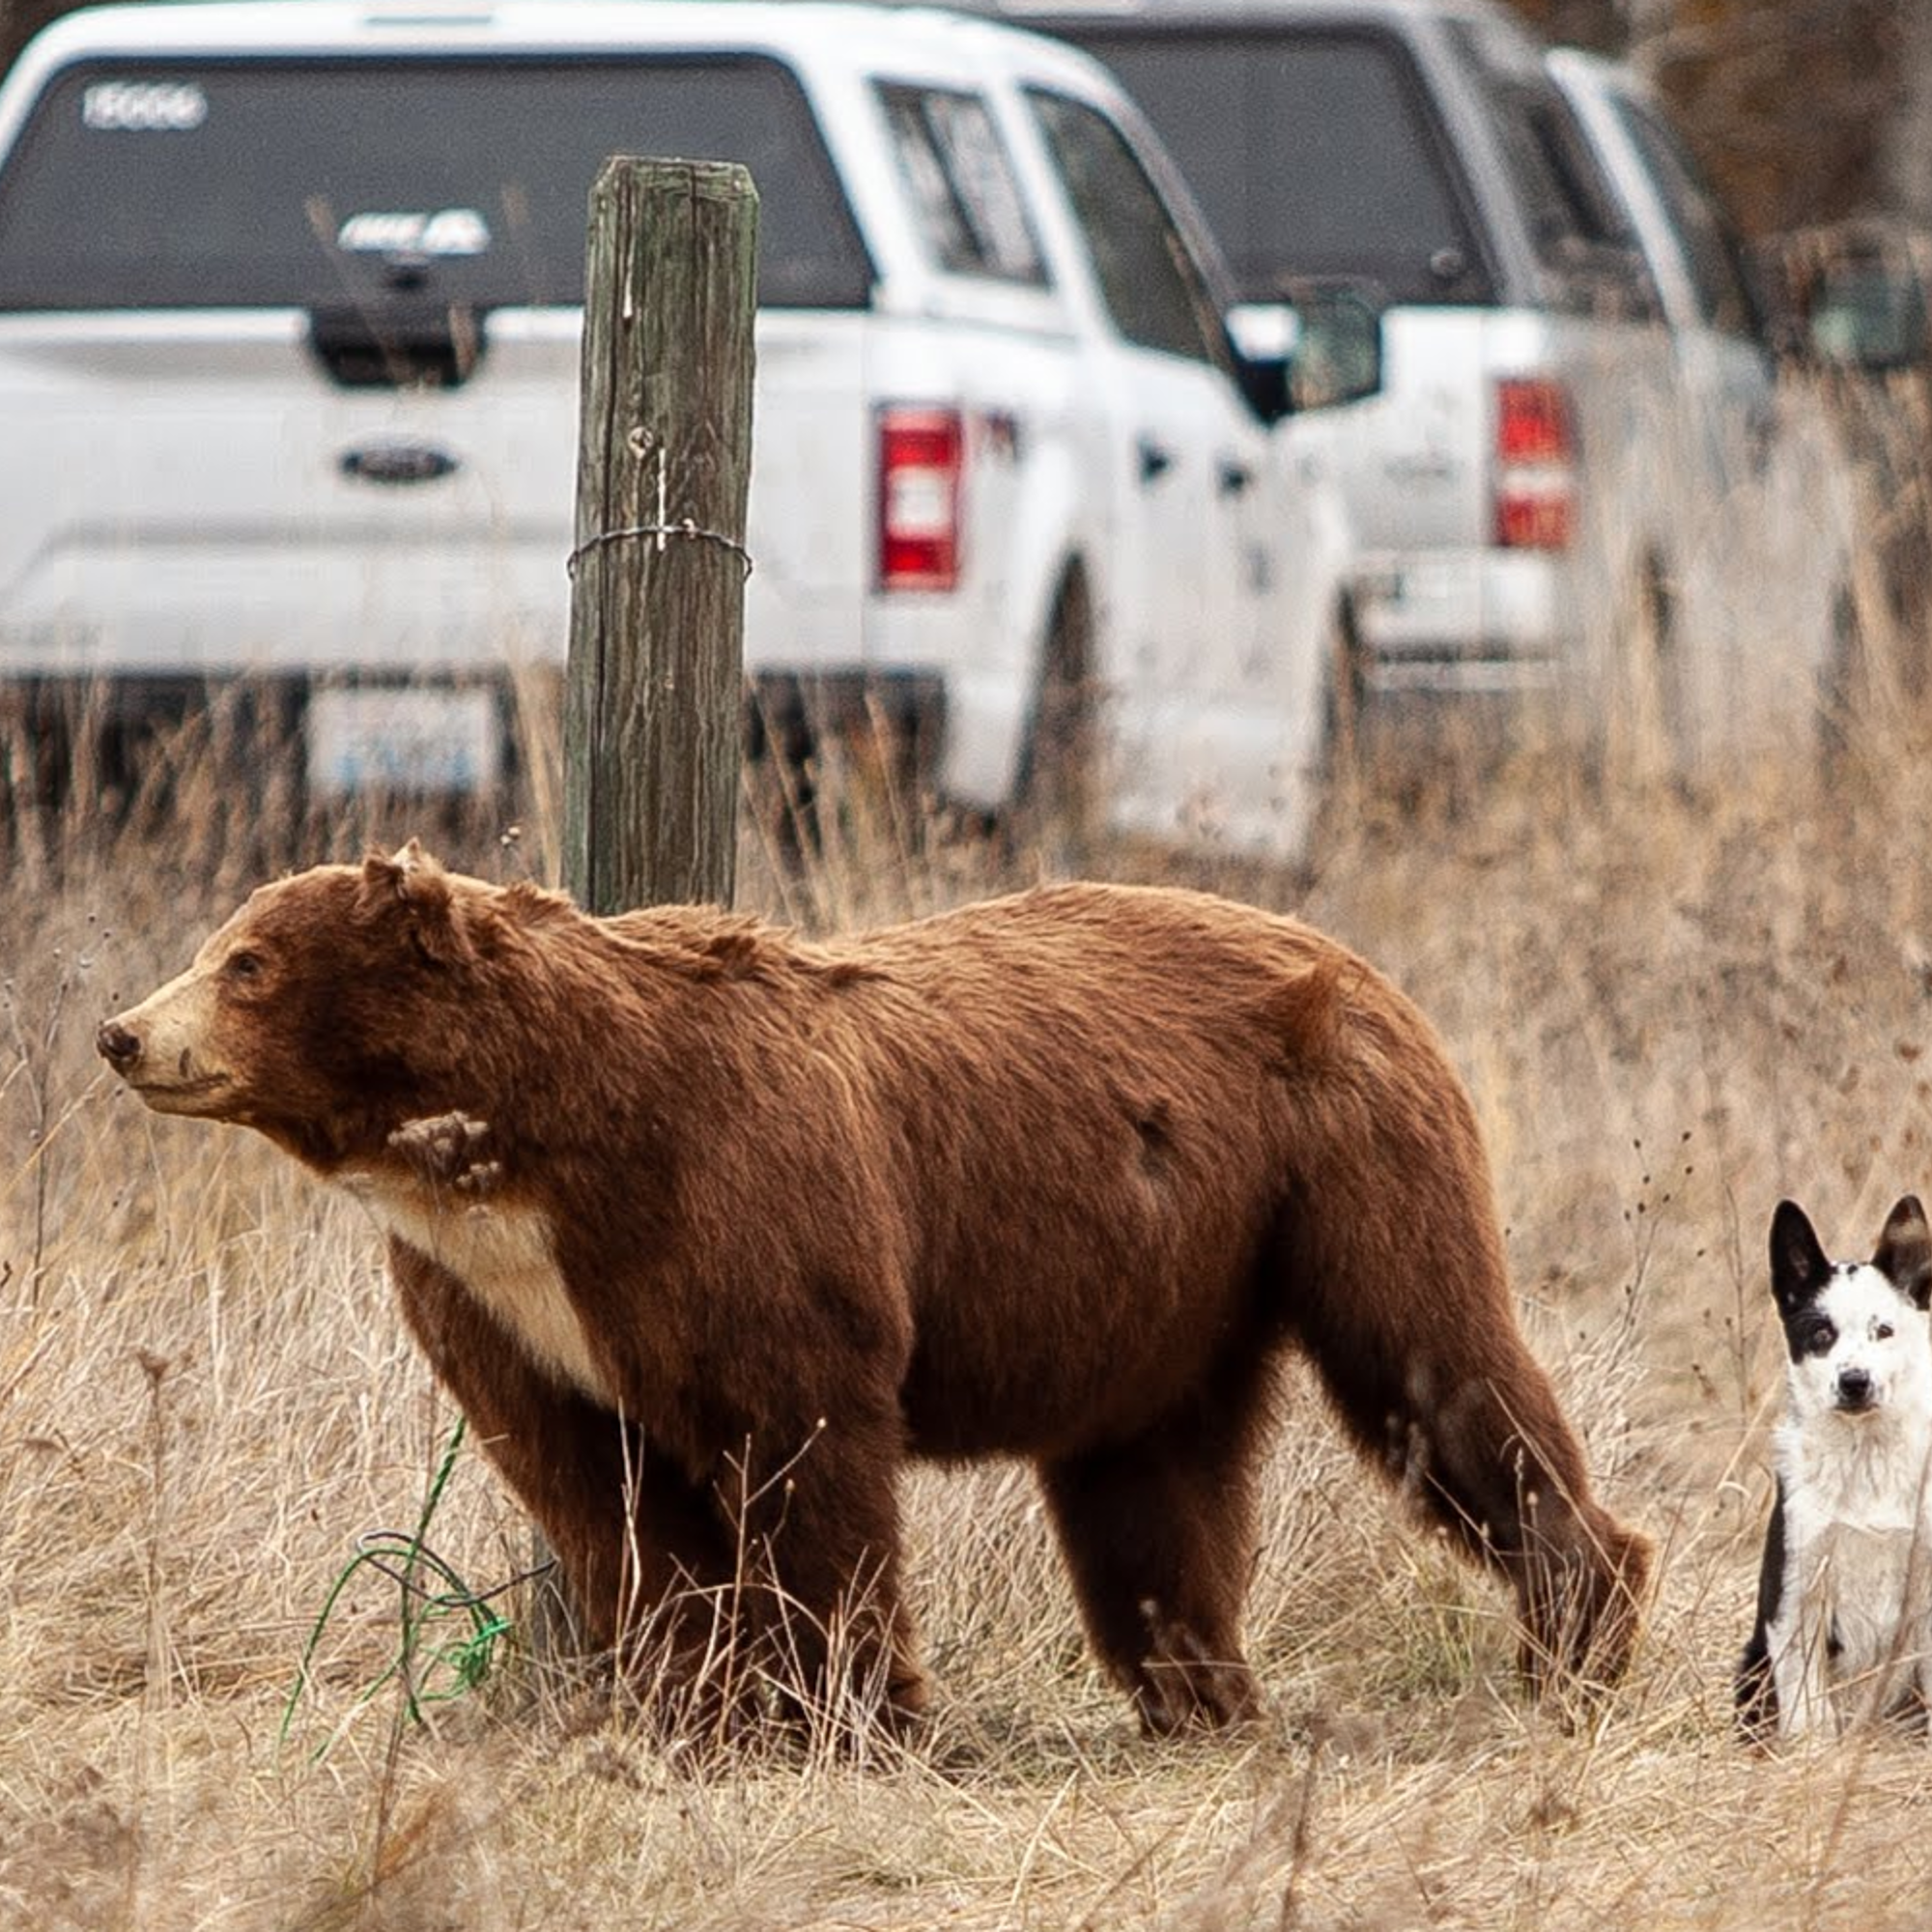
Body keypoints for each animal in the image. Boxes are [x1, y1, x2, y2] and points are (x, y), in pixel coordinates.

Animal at [98, 846, 1654, 1739]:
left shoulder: (735, 1212)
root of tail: (1348, 951)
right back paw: (1195, 1684)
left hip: (1340, 1165)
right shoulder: (506, 1306)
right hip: (1165, 1284)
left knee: (1432, 1365)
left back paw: (1579, 1624)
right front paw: (693, 1707)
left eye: (249, 961)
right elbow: (606, 1497)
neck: (522, 1146)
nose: (125, 1032)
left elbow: (803, 1453)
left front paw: (852, 1706)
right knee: (1149, 1484)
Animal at [1739, 1198, 1932, 1747]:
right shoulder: (1794, 1599)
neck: (1865, 1461)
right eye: (1821, 1334)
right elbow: (1807, 1714)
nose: (1854, 1382)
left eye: (1883, 1331)